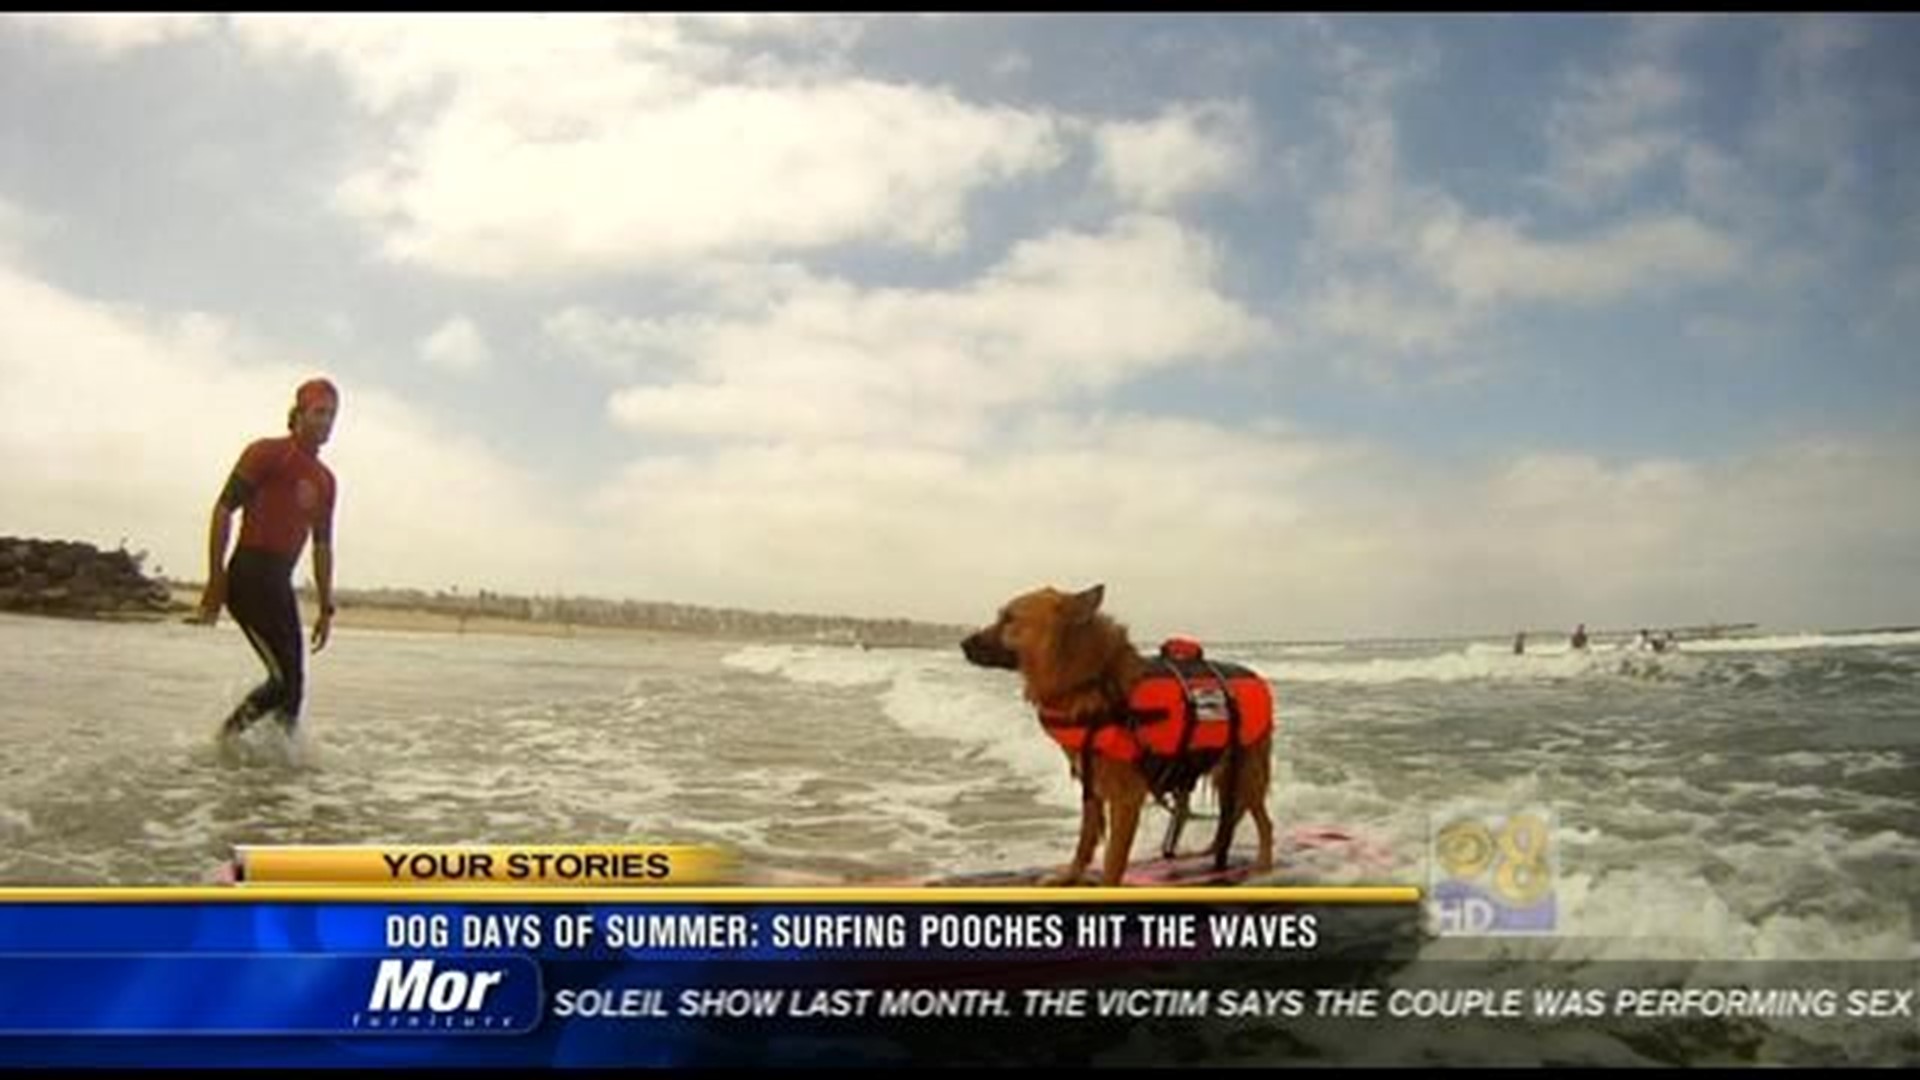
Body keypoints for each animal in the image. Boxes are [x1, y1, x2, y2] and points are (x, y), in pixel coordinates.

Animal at [960, 580, 1274, 883]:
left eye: (1009, 618)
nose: (962, 643)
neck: (1090, 679)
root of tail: (1256, 676)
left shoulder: (1126, 797)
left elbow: (1113, 860)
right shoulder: (1092, 784)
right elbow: (1085, 839)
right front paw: (1071, 875)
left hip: (1247, 774)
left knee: (1263, 822)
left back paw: (1263, 864)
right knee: (1231, 817)